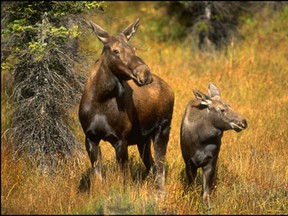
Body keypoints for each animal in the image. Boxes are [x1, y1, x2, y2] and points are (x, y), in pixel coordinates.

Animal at [77, 18, 174, 191]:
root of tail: (170, 89)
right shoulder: (90, 137)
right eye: (116, 51)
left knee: (160, 169)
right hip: (143, 139)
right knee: (152, 167)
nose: (145, 74)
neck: (101, 99)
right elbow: (98, 178)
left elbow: (123, 180)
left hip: (163, 129)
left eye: (134, 49)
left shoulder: (121, 140)